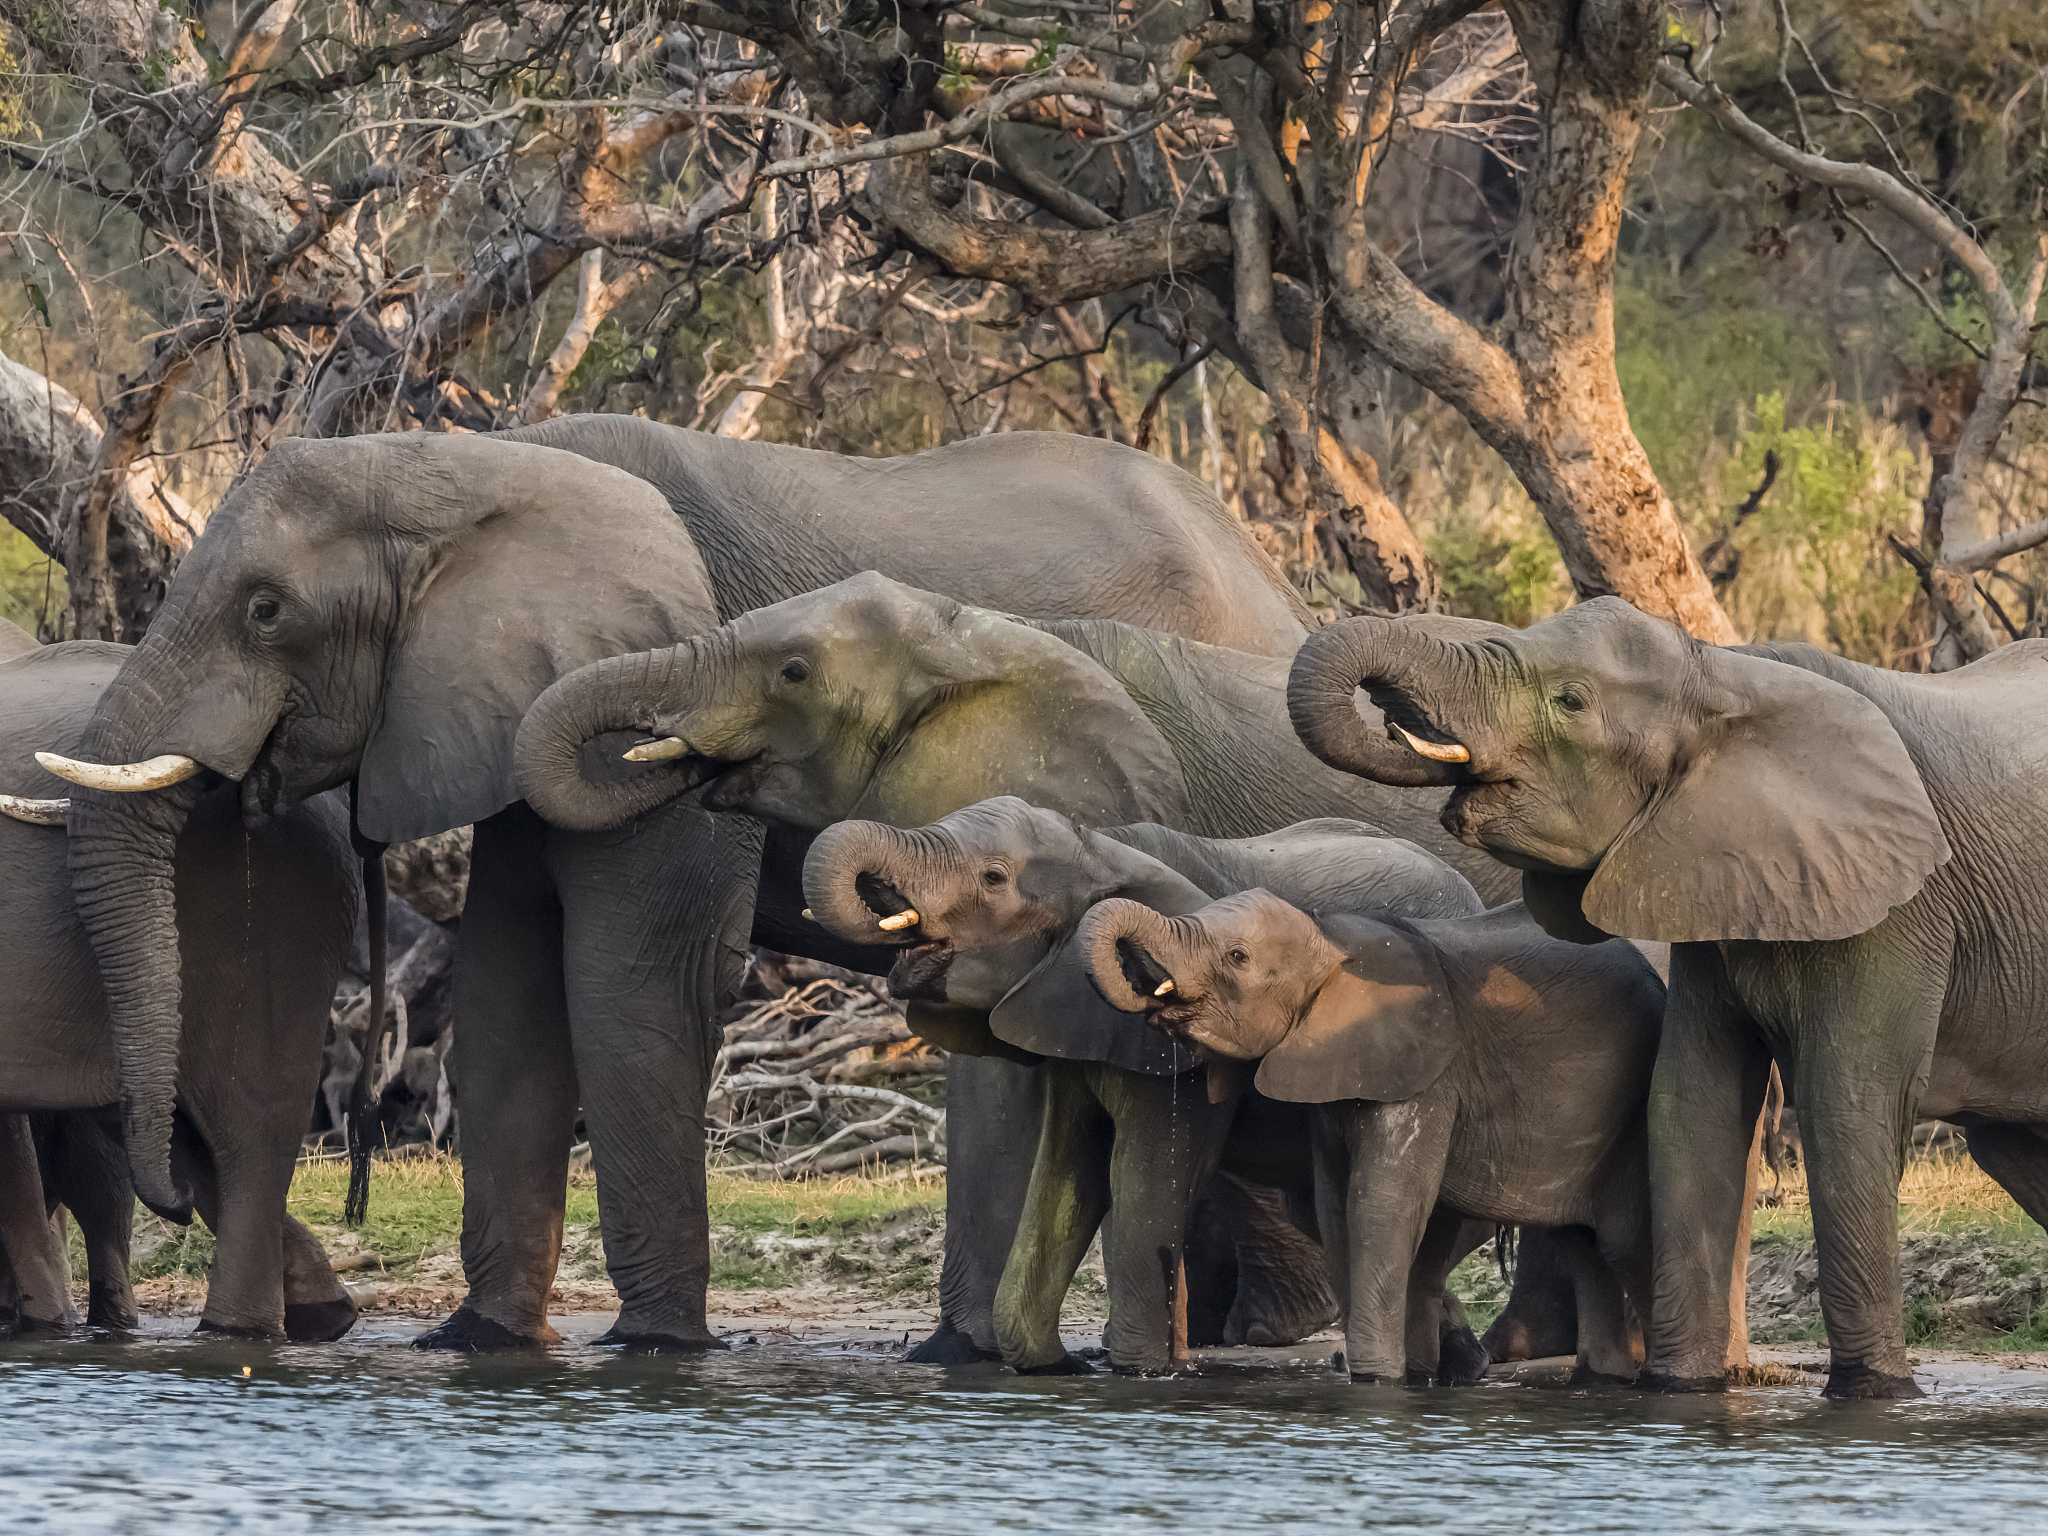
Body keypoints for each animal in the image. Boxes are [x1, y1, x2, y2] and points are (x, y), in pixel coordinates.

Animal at [38, 424, 1315, 1354]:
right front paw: (479, 1343)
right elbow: (508, 1004)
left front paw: (651, 1349)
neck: (468, 458)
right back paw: (1250, 1335)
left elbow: (633, 988)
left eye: (265, 611)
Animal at [801, 796, 1493, 1373]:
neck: (1100, 846)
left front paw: (1135, 1370)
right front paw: (1056, 1367)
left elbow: (1144, 1179)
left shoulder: (1161, 1049)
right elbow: (1069, 1174)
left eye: (993, 878)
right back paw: (1458, 1363)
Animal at [1073, 889, 1666, 1384]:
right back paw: (1602, 1377)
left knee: (1623, 1242)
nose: (1147, 992)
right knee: (1584, 1245)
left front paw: (1377, 1378)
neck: (1330, 938)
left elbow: (1380, 1203)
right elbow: (1335, 1207)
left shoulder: (1423, 1070)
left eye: (1238, 957)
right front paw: (1396, 1375)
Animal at [1286, 596, 2048, 1399]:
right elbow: (1690, 1105)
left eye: (1572, 702)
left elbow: (1847, 1109)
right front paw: (1681, 1391)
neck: (1724, 676)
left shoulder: (1899, 906)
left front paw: (1874, 1395)